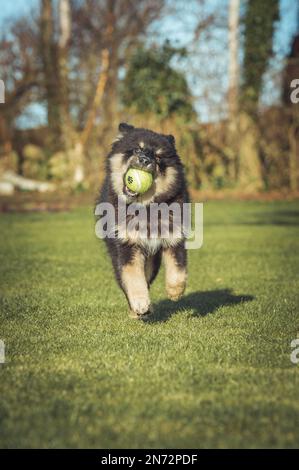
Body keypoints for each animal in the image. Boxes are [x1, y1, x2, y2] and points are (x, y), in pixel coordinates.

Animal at [97, 123, 189, 318]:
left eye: (158, 157)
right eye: (137, 149)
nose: (145, 160)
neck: (145, 208)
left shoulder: (174, 236)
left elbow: (178, 267)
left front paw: (175, 291)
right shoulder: (126, 245)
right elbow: (132, 277)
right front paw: (139, 303)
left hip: (152, 260)